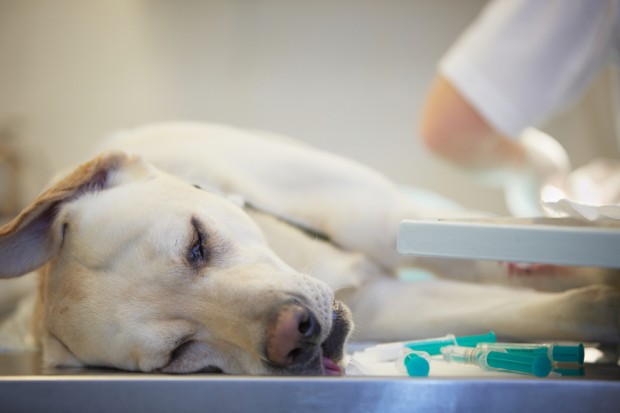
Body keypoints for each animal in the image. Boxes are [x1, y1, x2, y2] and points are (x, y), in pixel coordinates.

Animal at [1, 121, 620, 374]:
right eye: (177, 354)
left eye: (196, 243)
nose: (294, 335)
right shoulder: (387, 305)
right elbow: (555, 310)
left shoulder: (401, 226)